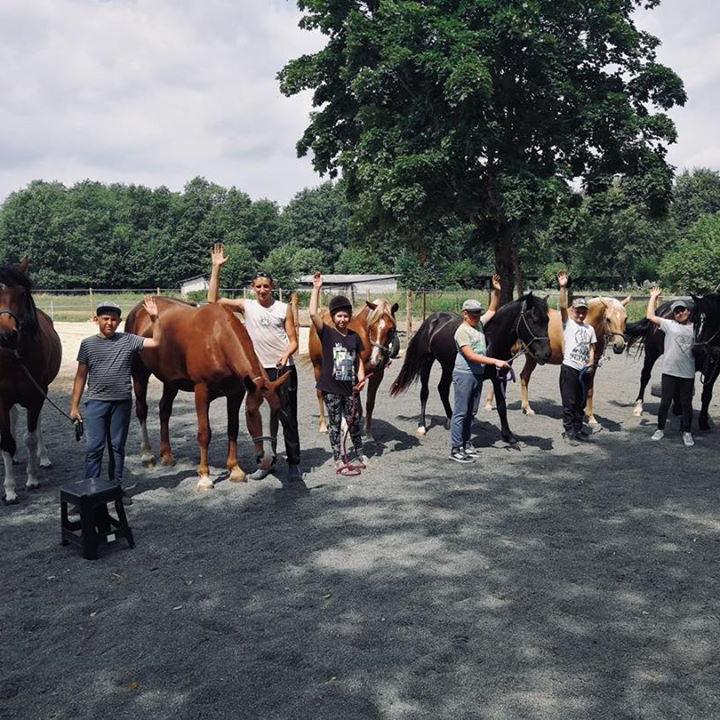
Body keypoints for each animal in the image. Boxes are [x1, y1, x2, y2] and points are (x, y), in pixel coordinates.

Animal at [0, 262, 62, 504]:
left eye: (22, 293)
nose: (6, 335)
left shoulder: (36, 396)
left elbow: (31, 438)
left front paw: (32, 478)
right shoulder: (2, 400)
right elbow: (7, 441)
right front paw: (9, 490)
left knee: (37, 427)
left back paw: (42, 459)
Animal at [125, 297, 290, 490]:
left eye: (278, 412)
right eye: (250, 413)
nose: (267, 460)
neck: (217, 339)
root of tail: (138, 310)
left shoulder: (236, 394)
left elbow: (232, 429)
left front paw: (235, 469)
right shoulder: (201, 391)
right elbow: (204, 433)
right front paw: (204, 477)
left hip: (171, 381)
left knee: (164, 410)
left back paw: (167, 455)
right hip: (139, 374)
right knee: (142, 410)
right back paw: (147, 455)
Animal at [309, 299, 399, 437]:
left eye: (391, 329)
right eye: (371, 327)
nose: (375, 360)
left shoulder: (377, 375)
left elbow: (369, 404)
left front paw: (368, 432)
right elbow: (357, 406)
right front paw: (348, 428)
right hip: (317, 367)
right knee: (320, 394)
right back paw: (323, 426)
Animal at [389, 293, 552, 442]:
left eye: (548, 320)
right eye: (534, 320)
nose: (546, 354)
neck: (491, 342)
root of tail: (433, 319)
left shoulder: (500, 377)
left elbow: (501, 406)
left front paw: (508, 436)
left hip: (447, 366)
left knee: (442, 389)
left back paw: (451, 419)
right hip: (427, 361)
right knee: (425, 393)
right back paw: (422, 426)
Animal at [483, 296, 630, 423]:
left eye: (625, 318)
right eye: (608, 319)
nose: (619, 346)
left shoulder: (591, 367)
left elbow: (589, 390)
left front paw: (591, 418)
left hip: (531, 358)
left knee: (524, 376)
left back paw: (527, 408)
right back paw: (489, 404)